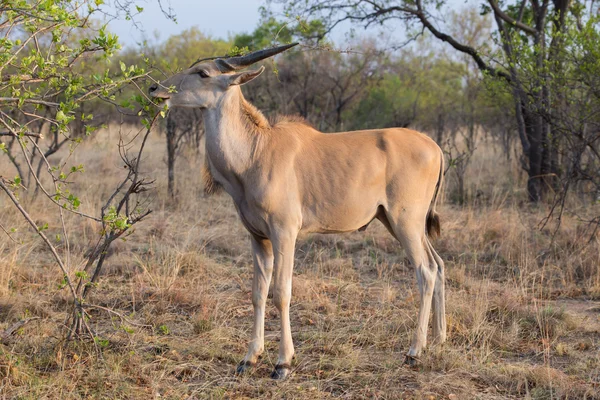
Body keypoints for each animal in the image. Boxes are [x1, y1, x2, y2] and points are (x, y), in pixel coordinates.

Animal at [148, 43, 442, 378]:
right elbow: (257, 293)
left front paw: (283, 362)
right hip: (400, 223)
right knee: (439, 264)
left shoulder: (284, 232)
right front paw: (250, 357)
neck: (255, 151)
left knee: (426, 271)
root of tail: (435, 148)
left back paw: (414, 351)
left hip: (405, 222)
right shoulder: (257, 237)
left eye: (202, 73)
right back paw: (438, 339)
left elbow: (281, 291)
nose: (155, 88)